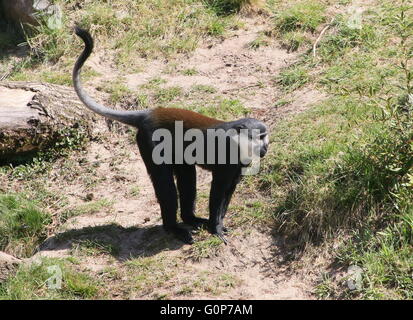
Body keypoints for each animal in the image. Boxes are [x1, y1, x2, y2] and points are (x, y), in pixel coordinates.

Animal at [72, 27, 268, 244]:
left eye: (265, 136)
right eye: (259, 137)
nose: (265, 147)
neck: (238, 141)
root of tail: (149, 114)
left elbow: (228, 191)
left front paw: (218, 224)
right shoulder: (225, 164)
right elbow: (218, 192)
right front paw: (215, 228)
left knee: (187, 176)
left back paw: (190, 218)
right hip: (150, 143)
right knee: (165, 187)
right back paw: (173, 228)